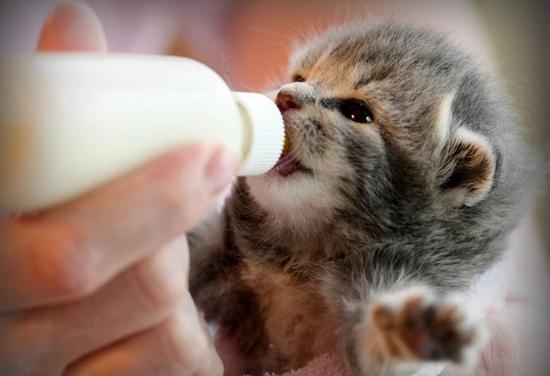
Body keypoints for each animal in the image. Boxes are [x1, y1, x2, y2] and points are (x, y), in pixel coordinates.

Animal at [189, 22, 536, 374]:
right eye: (300, 77)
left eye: (357, 112)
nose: (285, 96)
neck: (302, 256)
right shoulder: (224, 242)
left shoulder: (397, 269)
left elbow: (375, 352)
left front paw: (406, 330)